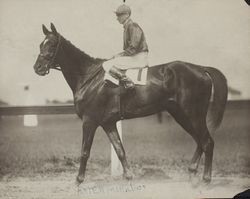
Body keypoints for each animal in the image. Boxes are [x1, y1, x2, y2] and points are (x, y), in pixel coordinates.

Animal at [33, 22, 229, 183]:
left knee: (207, 141)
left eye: (51, 44)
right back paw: (192, 171)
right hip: (180, 114)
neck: (89, 77)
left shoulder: (89, 121)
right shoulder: (108, 123)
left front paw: (78, 180)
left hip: (192, 114)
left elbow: (85, 151)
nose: (37, 68)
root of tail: (201, 68)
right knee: (200, 141)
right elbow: (119, 149)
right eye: (41, 44)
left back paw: (205, 179)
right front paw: (128, 176)